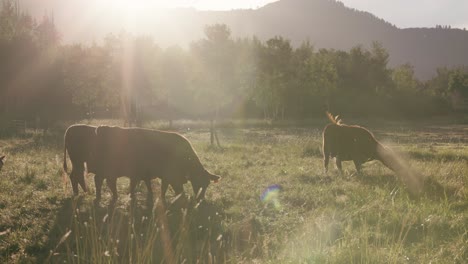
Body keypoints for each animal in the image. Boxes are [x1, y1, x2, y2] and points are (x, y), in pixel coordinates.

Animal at [94, 127, 222, 205]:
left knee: (107, 181)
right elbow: (171, 190)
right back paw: (103, 198)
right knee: (100, 180)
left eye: (207, 185)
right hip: (106, 169)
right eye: (199, 183)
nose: (201, 200)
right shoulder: (170, 176)